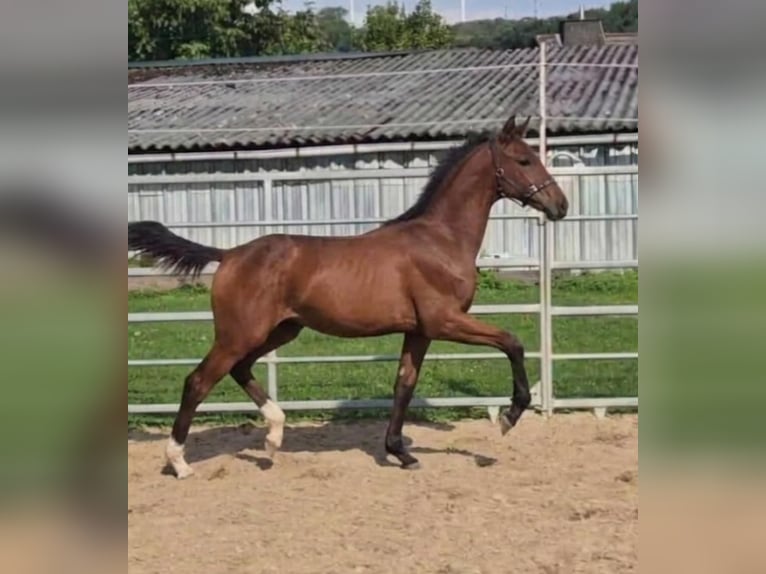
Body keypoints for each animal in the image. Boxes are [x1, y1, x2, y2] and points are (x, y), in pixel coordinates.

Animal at [128, 114, 569, 479]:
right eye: (525, 160)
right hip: (240, 333)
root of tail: (230, 254)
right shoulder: (444, 320)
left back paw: (274, 436)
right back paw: (180, 462)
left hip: (280, 331)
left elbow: (404, 384)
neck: (440, 241)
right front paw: (510, 415)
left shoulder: (419, 331)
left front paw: (400, 452)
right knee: (198, 381)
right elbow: (511, 342)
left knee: (239, 370)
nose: (560, 206)